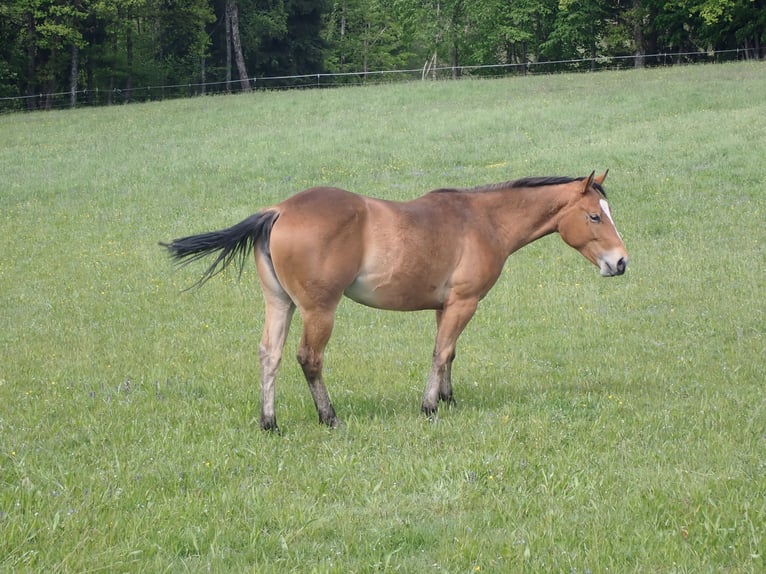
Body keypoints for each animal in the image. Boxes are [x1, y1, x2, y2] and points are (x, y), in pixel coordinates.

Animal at [162, 171, 632, 432]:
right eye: (594, 216)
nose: (621, 262)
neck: (482, 220)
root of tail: (278, 211)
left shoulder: (446, 307)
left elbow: (449, 354)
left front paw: (448, 399)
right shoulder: (464, 303)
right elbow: (440, 353)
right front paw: (430, 407)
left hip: (280, 305)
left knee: (269, 355)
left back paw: (269, 423)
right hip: (319, 311)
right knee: (309, 359)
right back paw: (329, 418)